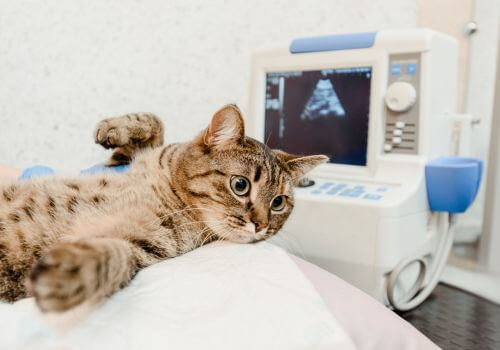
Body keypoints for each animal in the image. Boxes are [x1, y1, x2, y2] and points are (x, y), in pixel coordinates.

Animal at [0, 105, 328, 314]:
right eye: (240, 185)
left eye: (278, 203)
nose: (261, 225)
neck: (173, 193)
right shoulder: (123, 163)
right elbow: (155, 122)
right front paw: (114, 127)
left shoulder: (143, 244)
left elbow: (114, 256)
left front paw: (70, 273)